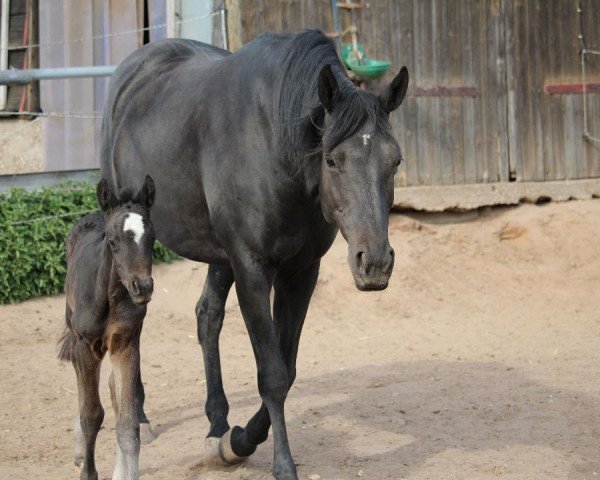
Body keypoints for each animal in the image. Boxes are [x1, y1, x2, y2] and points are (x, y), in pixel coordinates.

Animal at [58, 176, 156, 480]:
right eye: (113, 242)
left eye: (152, 239)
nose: (142, 287)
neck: (109, 296)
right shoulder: (86, 346)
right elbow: (91, 415)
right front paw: (88, 473)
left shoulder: (126, 343)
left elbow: (127, 423)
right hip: (74, 331)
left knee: (114, 389)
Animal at [102, 31, 408, 480]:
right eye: (332, 159)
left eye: (395, 160)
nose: (375, 263)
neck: (274, 142)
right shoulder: (251, 266)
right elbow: (273, 374)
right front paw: (280, 462)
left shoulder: (301, 271)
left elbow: (287, 367)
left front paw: (234, 442)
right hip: (136, 241)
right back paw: (139, 415)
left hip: (218, 255)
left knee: (207, 316)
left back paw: (217, 423)